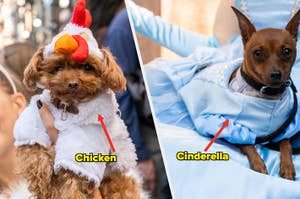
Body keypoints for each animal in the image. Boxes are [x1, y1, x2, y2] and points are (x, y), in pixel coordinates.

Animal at [13, 0, 145, 198]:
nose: (73, 83)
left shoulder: (83, 145)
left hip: (117, 180)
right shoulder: (34, 122)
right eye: (58, 67)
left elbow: (73, 177)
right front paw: (42, 183)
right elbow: (33, 150)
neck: (68, 109)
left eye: (88, 67)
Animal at [230, 7, 300, 180]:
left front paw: (287, 165)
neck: (268, 94)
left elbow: (286, 144)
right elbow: (247, 143)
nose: (276, 74)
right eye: (257, 53)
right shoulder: (233, 128)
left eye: (287, 51)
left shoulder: (284, 129)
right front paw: (258, 163)